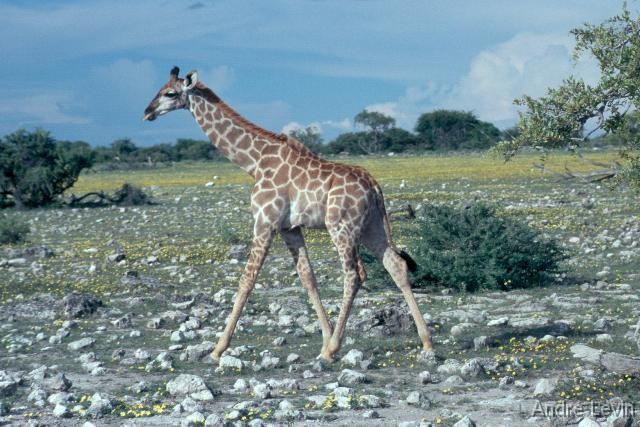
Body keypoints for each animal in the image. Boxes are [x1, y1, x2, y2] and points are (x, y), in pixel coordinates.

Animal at [143, 67, 433, 361]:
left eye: (170, 93)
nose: (147, 112)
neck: (254, 162)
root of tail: (374, 186)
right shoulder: (289, 228)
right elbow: (308, 278)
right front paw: (323, 338)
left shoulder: (264, 222)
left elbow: (247, 280)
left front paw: (217, 348)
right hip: (371, 226)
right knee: (395, 265)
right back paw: (426, 342)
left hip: (342, 226)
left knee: (354, 275)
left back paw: (333, 348)